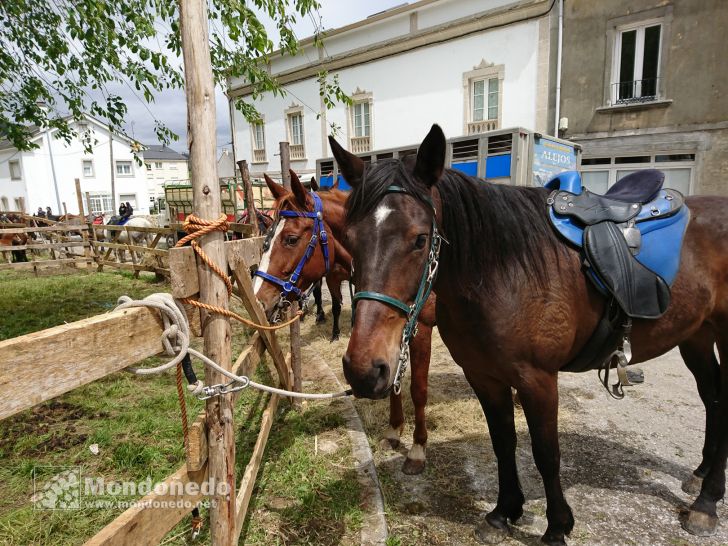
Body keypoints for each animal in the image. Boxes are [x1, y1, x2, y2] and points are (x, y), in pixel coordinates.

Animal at [253, 168, 436, 470]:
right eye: (266, 238)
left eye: (291, 239)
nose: (259, 299)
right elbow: (394, 383)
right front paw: (394, 431)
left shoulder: (421, 328)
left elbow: (418, 389)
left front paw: (418, 448)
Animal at [334, 124, 728, 544]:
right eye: (349, 238)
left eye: (420, 239)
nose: (363, 369)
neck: (503, 273)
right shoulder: (484, 376)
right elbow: (503, 442)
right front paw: (504, 511)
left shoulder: (537, 380)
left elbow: (545, 453)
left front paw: (557, 526)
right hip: (696, 336)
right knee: (713, 398)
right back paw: (701, 475)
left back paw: (706, 504)